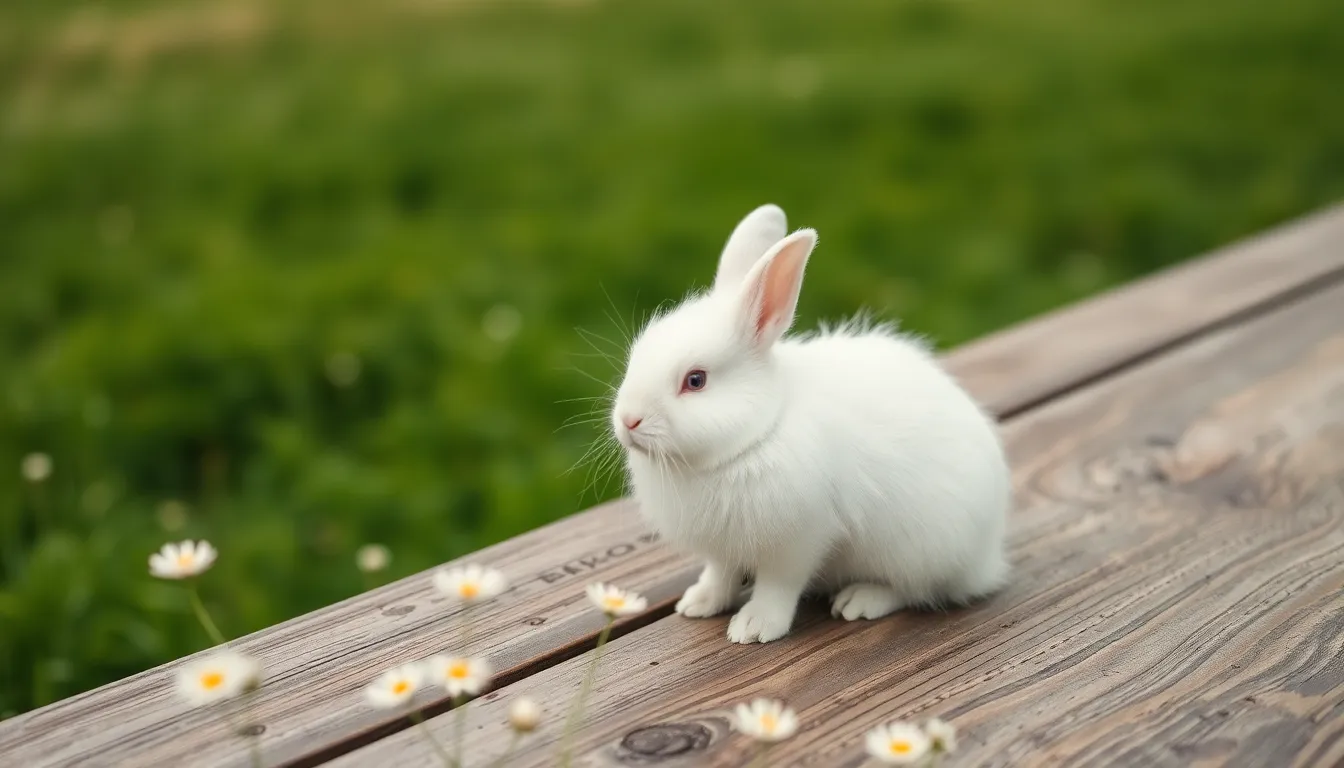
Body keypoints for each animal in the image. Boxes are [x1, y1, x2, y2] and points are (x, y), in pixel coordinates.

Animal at [610, 203, 1011, 644]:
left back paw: (860, 601)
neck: (751, 440)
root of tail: (986, 560)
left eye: (695, 380)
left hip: (920, 550)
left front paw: (755, 627)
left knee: (916, 589)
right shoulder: (722, 550)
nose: (628, 420)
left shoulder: (798, 540)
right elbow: (720, 574)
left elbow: (778, 585)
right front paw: (698, 604)